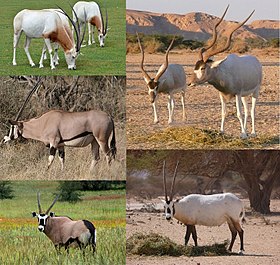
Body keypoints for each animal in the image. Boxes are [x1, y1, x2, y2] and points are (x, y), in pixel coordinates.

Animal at [188, 5, 262, 138]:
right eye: (195, 67)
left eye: (203, 68)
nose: (190, 83)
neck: (224, 73)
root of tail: (256, 60)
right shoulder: (222, 95)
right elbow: (224, 112)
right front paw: (221, 131)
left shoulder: (237, 94)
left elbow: (239, 114)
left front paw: (243, 135)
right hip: (244, 95)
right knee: (247, 110)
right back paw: (247, 130)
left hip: (255, 91)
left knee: (252, 110)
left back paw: (252, 133)